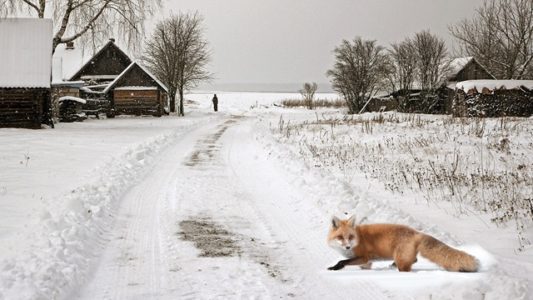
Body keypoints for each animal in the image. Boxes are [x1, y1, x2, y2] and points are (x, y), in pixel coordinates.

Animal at [326, 216, 480, 272]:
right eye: (340, 237)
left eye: (350, 237)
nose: (347, 246)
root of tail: (416, 232)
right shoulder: (366, 262)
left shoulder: (364, 257)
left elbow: (343, 261)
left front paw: (335, 268)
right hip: (403, 256)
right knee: (415, 259)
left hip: (401, 260)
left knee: (408, 268)